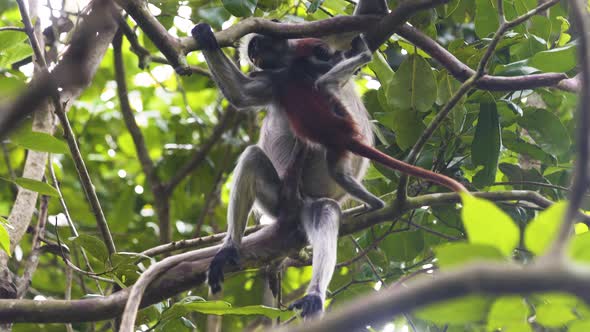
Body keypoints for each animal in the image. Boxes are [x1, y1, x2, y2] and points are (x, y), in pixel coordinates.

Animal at [193, 0, 468, 320]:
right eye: (253, 53)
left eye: (260, 46)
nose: (257, 57)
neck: (292, 64)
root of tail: (293, 209)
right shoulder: (273, 80)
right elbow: (241, 96)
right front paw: (204, 37)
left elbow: (361, 22)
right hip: (276, 198)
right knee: (254, 158)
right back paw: (230, 250)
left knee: (324, 208)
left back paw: (314, 292)